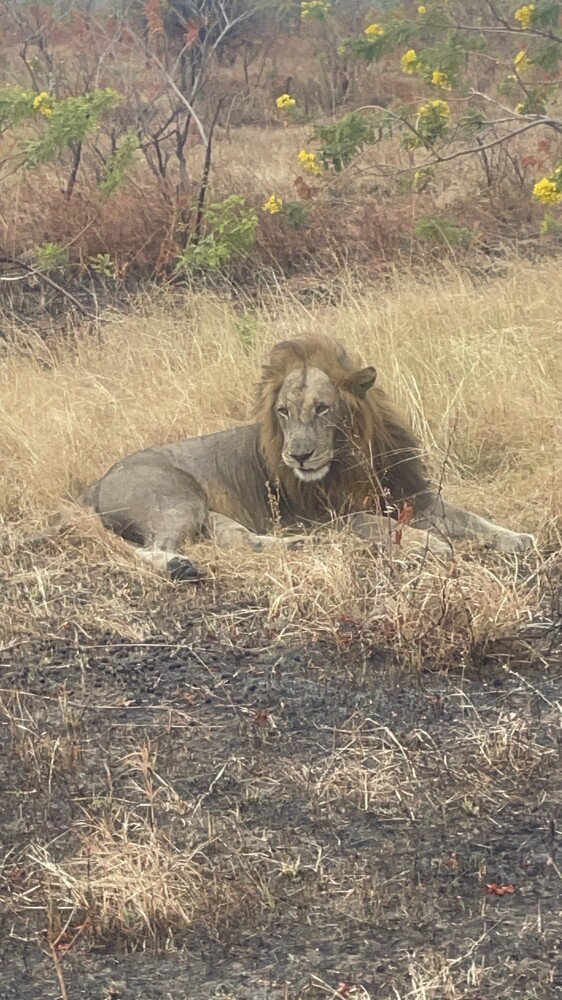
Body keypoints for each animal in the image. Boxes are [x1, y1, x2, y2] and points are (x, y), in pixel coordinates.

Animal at [81, 334, 535, 580]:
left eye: (322, 408)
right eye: (283, 411)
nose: (299, 456)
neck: (355, 459)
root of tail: (99, 481)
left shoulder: (413, 496)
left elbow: (470, 517)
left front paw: (516, 538)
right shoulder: (327, 517)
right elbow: (374, 522)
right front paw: (431, 544)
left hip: (211, 515)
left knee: (236, 539)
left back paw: (297, 546)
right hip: (179, 500)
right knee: (145, 549)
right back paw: (178, 565)